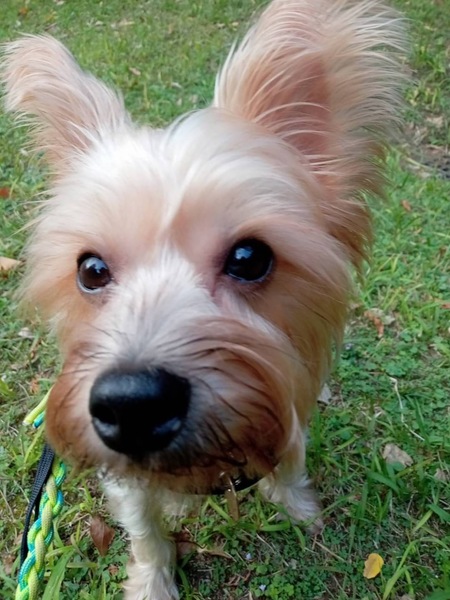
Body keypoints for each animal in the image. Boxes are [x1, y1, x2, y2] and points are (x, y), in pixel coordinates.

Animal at [1, 0, 405, 598]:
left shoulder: (288, 394)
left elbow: (290, 458)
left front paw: (298, 506)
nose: (132, 404)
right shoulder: (128, 479)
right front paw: (153, 581)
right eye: (91, 270)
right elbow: (146, 532)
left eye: (249, 258)